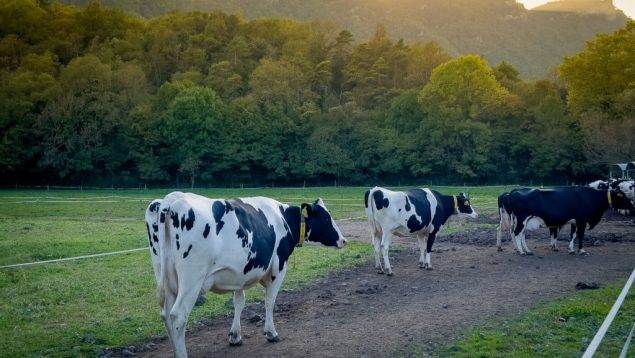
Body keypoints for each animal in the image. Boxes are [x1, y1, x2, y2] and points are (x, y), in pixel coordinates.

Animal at [504, 186, 632, 256]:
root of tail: (514, 191)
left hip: (521, 221)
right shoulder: (582, 220)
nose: (632, 205)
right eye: (622, 196)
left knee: (520, 234)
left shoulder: (574, 221)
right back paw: (522, 252)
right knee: (517, 233)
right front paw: (582, 251)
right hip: (522, 219)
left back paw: (526, 250)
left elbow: (573, 235)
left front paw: (571, 250)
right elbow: (580, 235)